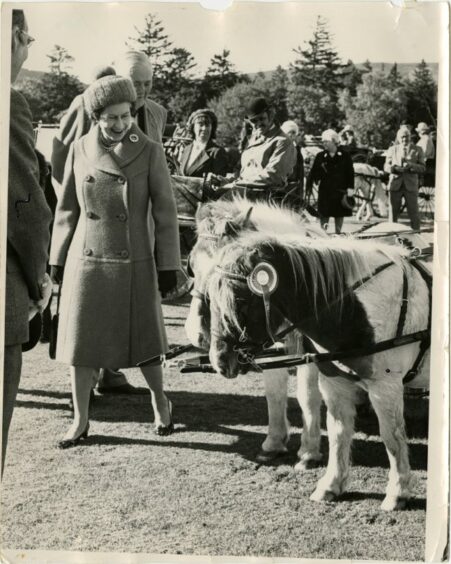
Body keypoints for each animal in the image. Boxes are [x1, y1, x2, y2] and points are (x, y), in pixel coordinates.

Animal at [207, 231, 430, 508]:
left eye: (240, 300)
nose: (219, 359)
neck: (357, 310)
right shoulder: (335, 384)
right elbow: (338, 433)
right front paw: (331, 485)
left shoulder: (385, 386)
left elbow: (392, 438)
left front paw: (398, 492)